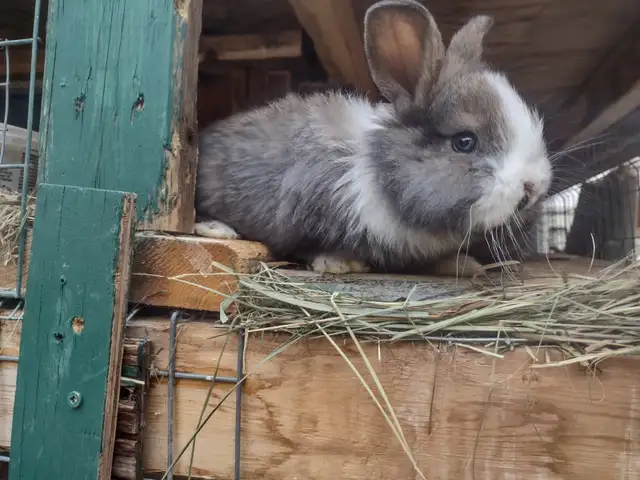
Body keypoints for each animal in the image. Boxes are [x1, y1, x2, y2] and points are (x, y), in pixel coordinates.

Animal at [194, 0, 552, 277]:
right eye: (464, 142)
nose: (534, 186)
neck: (383, 177)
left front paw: (464, 265)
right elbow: (308, 245)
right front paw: (338, 264)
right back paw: (217, 229)